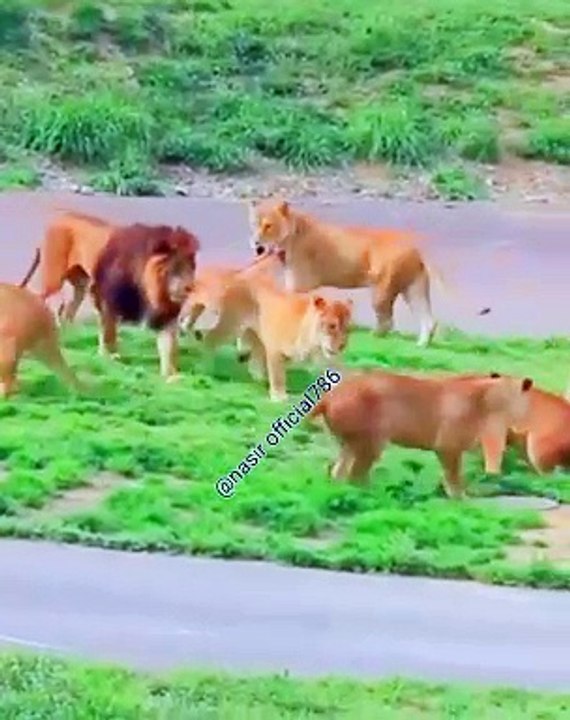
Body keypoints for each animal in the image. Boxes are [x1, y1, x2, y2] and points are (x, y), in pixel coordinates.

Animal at [91, 223, 200, 381]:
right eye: (176, 266)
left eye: (192, 266)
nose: (190, 287)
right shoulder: (110, 305)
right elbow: (108, 335)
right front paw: (110, 360)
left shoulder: (167, 317)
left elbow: (168, 348)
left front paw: (170, 376)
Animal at [196, 273, 353, 401]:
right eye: (332, 326)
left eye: (347, 328)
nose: (342, 345)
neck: (314, 343)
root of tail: (240, 277)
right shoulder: (275, 350)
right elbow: (278, 375)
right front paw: (279, 397)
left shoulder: (328, 360)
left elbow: (343, 373)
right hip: (231, 326)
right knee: (209, 339)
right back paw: (205, 370)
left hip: (256, 335)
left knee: (255, 358)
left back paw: (259, 379)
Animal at [248, 198, 446, 347]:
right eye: (254, 224)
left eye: (268, 226)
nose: (256, 243)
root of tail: (415, 250)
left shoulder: (299, 283)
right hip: (413, 289)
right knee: (428, 319)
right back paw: (421, 345)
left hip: (382, 289)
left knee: (387, 320)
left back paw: (372, 338)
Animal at [306, 369, 533, 498]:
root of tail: (328, 397)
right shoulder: (448, 445)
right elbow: (453, 475)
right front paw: (460, 498)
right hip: (371, 438)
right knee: (356, 473)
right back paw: (372, 494)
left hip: (350, 440)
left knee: (339, 470)